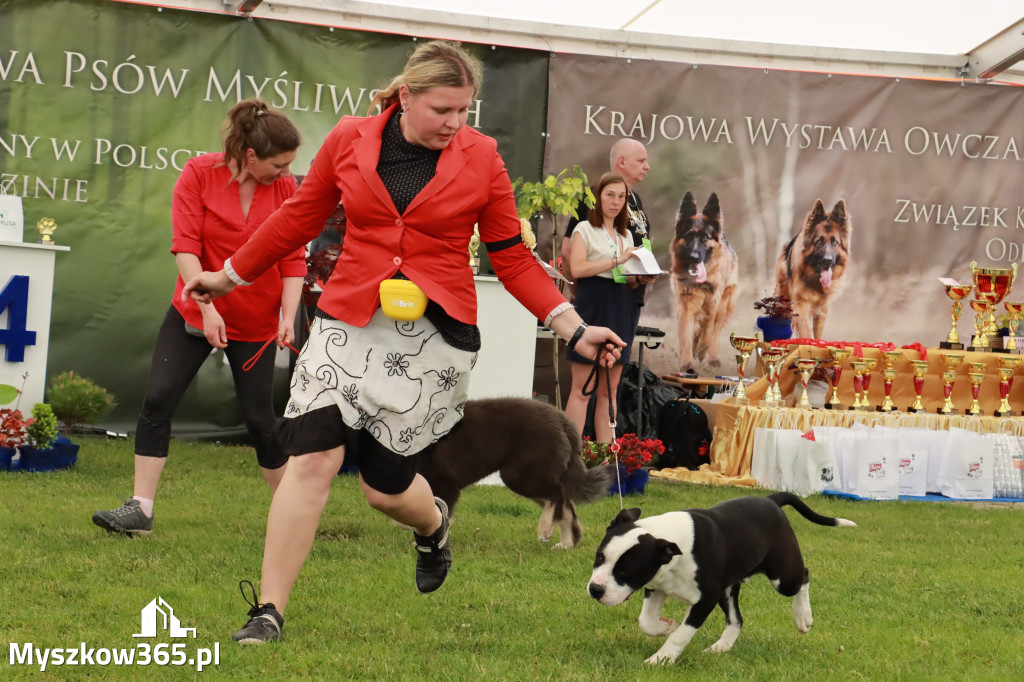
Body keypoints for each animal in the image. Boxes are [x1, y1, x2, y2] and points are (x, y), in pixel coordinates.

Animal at [585, 491, 856, 659]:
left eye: (626, 571)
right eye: (599, 558)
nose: (595, 590)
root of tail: (770, 500)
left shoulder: (705, 600)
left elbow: (682, 634)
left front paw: (661, 659)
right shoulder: (656, 586)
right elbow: (647, 622)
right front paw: (668, 626)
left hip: (783, 576)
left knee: (804, 578)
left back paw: (803, 618)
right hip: (729, 588)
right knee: (737, 620)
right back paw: (720, 648)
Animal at [671, 191, 737, 372]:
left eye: (705, 237)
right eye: (689, 236)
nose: (693, 257)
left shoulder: (713, 304)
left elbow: (708, 334)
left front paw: (701, 353)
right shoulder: (686, 304)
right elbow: (686, 335)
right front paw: (687, 362)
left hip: (722, 306)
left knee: (714, 333)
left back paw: (712, 358)